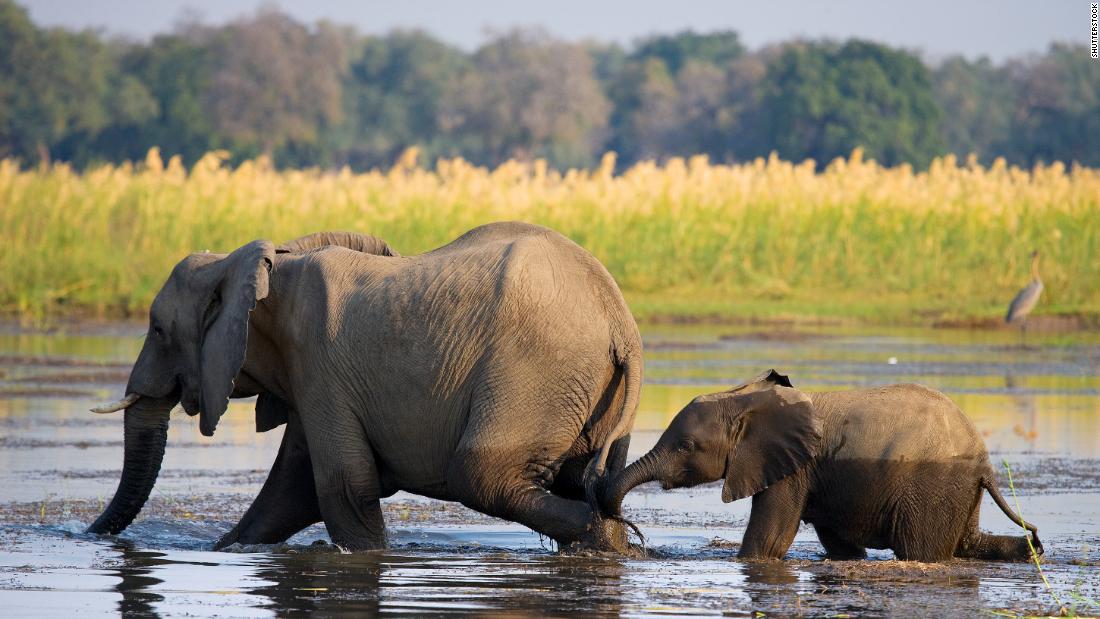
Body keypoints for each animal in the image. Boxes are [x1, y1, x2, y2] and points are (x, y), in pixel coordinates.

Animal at [90, 223, 642, 551]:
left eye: (157, 330)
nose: (90, 535)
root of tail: (619, 320)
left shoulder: (319, 363)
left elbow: (343, 484)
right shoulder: (310, 376)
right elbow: (292, 488)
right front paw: (228, 548)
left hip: (534, 372)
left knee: (480, 474)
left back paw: (603, 536)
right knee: (583, 482)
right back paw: (611, 541)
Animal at [602, 371, 1038, 562]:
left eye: (686, 447)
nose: (636, 539)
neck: (746, 400)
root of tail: (984, 462)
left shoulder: (793, 470)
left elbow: (768, 541)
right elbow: (841, 546)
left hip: (933, 486)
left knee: (922, 550)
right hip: (958, 489)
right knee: (972, 543)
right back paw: (1033, 548)